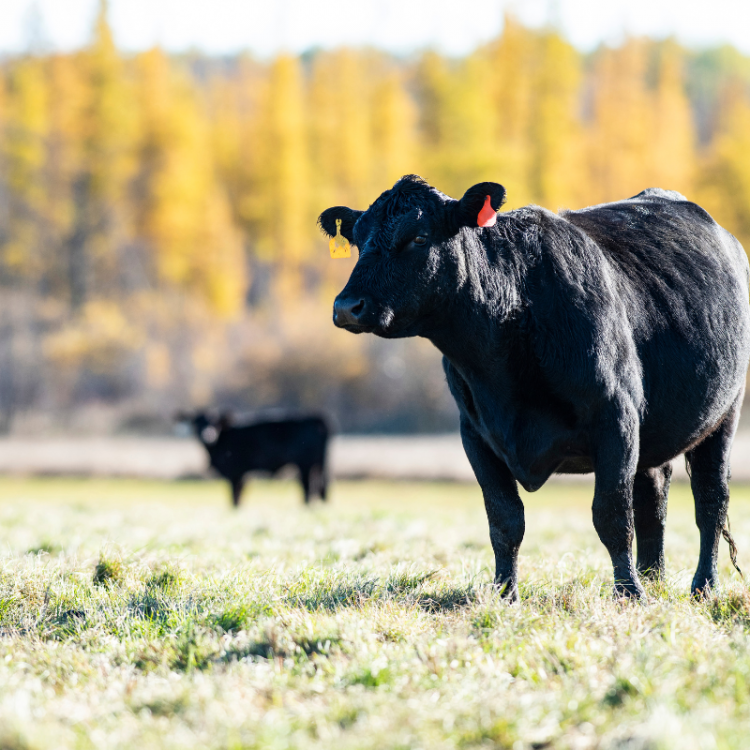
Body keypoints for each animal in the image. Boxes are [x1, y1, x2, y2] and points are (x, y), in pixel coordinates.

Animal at [182, 414, 328, 508]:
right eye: (196, 423)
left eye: (215, 422)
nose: (207, 434)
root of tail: (315, 418)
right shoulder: (242, 474)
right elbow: (238, 495)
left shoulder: (235, 472)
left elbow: (235, 495)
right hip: (317, 466)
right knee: (318, 486)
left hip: (306, 465)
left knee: (308, 487)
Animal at [322, 175, 750, 600]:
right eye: (358, 241)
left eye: (419, 237)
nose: (346, 307)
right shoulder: (475, 433)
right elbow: (505, 520)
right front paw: (503, 594)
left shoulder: (616, 419)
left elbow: (611, 515)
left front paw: (628, 594)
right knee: (653, 499)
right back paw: (655, 578)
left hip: (723, 415)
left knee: (710, 501)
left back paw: (702, 586)